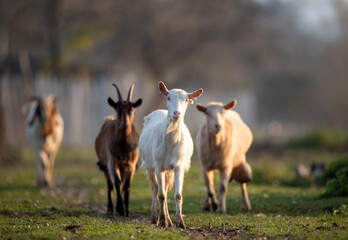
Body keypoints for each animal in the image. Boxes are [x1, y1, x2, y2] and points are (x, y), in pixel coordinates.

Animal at [139, 81, 204, 229]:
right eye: (168, 98)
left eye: (186, 99)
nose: (176, 113)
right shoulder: (158, 165)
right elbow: (161, 195)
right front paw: (162, 221)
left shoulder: (178, 165)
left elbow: (177, 195)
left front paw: (180, 222)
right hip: (149, 164)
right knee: (155, 189)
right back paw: (155, 218)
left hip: (168, 170)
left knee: (165, 189)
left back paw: (168, 219)